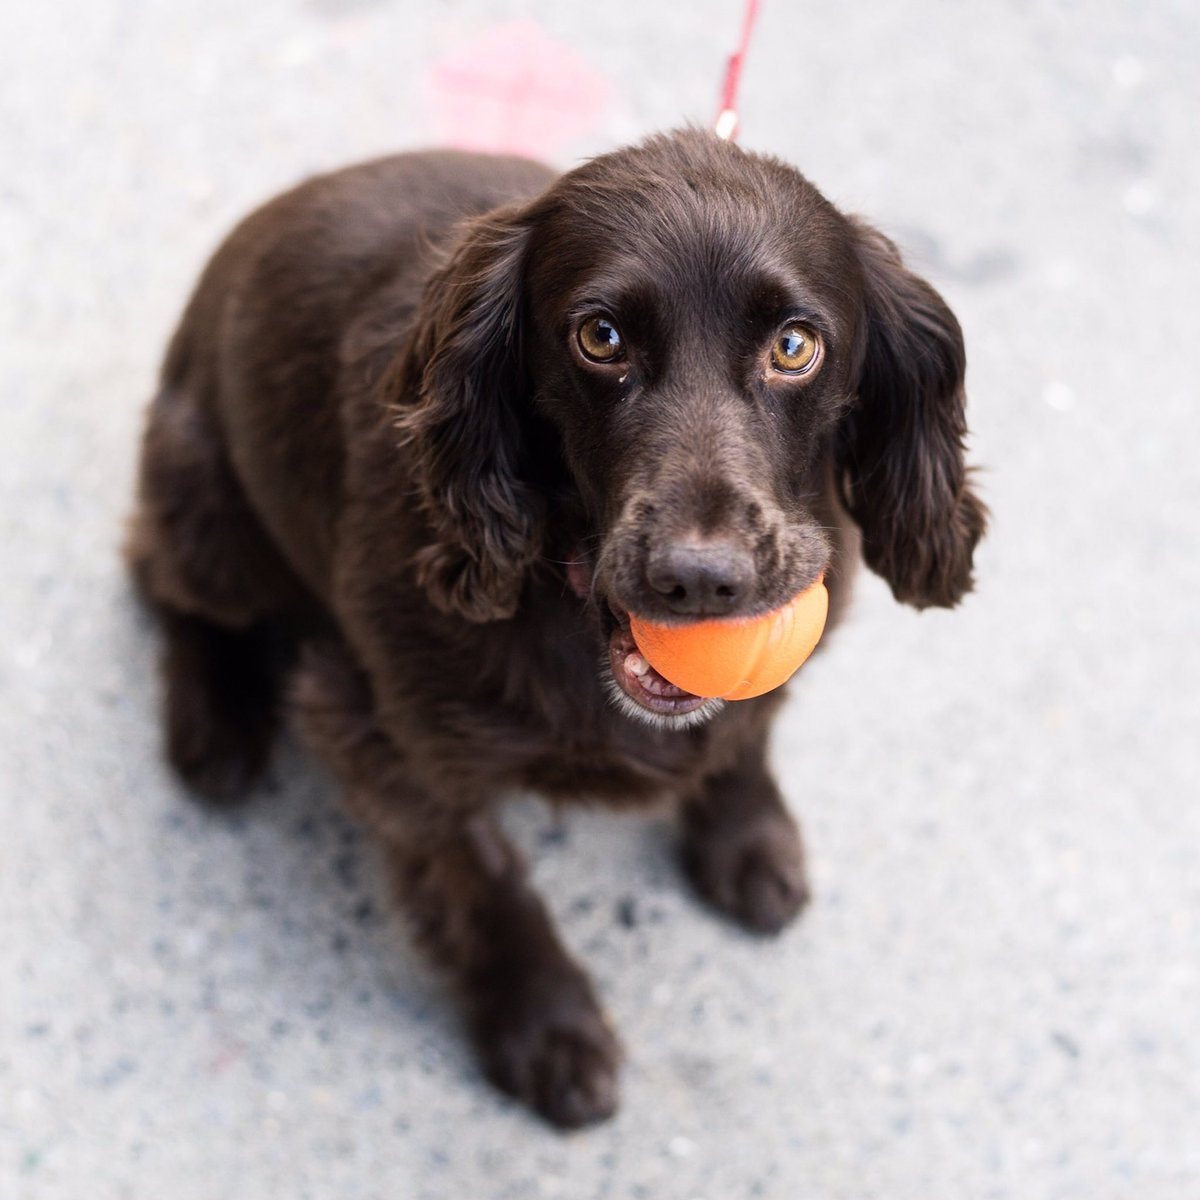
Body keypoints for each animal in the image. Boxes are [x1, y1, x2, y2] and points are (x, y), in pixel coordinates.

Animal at [124, 129, 984, 1123]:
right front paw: (546, 1026)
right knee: (157, 572)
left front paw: (748, 837)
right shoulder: (383, 732)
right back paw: (215, 724)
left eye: (795, 345)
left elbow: (745, 733)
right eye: (600, 338)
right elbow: (482, 882)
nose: (701, 580)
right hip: (207, 508)